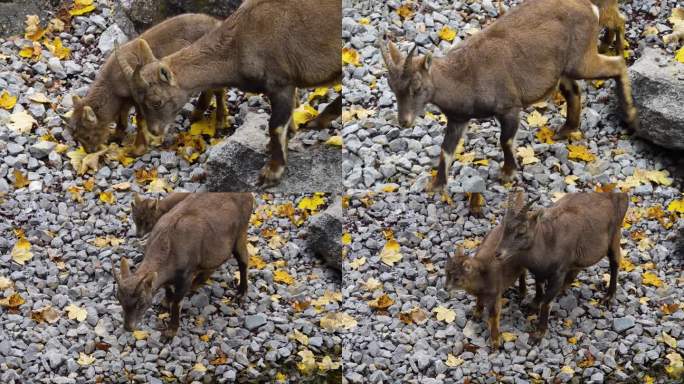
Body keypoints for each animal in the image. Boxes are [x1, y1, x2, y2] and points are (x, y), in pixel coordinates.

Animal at [68, 13, 226, 154]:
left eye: (87, 135)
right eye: (76, 137)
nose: (90, 151)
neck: (113, 81)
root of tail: (216, 23)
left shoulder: (138, 99)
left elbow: (139, 120)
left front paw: (137, 149)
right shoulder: (125, 101)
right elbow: (121, 119)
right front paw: (116, 136)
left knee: (218, 90)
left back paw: (220, 120)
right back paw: (196, 115)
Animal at [115, 194, 254, 334]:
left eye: (141, 303)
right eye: (119, 299)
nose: (128, 327)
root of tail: (249, 196)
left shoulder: (186, 275)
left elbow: (177, 303)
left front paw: (171, 331)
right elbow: (168, 289)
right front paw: (165, 303)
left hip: (241, 233)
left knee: (243, 260)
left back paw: (241, 293)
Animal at [117, 0, 344, 186]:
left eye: (156, 101)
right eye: (138, 101)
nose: (154, 131)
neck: (239, 44)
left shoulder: (281, 83)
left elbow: (275, 126)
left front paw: (271, 173)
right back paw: (318, 121)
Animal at [382, 0, 640, 191]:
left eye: (416, 86)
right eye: (392, 87)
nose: (404, 121)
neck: (462, 77)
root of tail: (590, 8)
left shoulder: (509, 107)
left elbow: (505, 140)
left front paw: (507, 173)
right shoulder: (458, 118)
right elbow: (446, 150)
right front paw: (436, 186)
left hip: (581, 60)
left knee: (617, 64)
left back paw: (629, 113)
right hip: (563, 67)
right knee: (574, 90)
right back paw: (567, 129)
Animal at [494, 190, 628, 344]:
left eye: (522, 231)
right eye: (504, 227)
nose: (498, 253)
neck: (547, 242)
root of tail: (619, 196)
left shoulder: (558, 273)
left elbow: (547, 303)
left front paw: (538, 334)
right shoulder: (539, 272)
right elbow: (539, 289)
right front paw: (533, 305)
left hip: (614, 237)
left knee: (615, 263)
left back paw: (609, 297)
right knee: (577, 268)